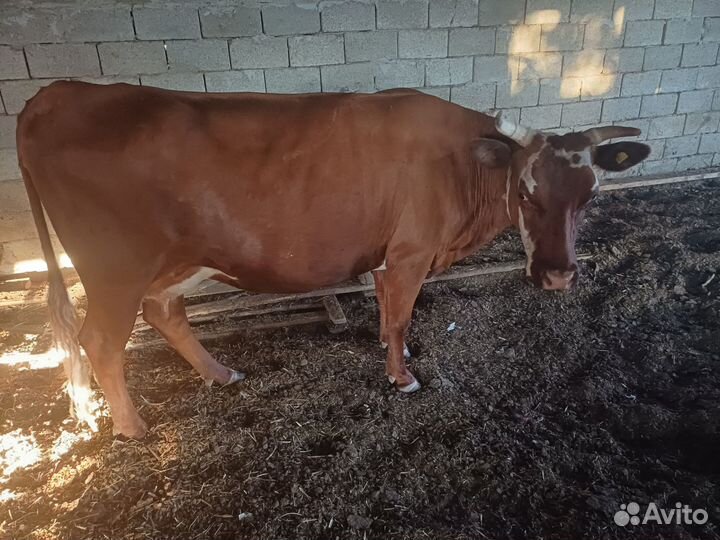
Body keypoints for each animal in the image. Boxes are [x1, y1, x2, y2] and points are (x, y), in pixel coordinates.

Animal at [16, 81, 649, 438]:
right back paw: (132, 428)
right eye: (526, 191)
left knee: (163, 312)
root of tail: (56, 93)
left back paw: (221, 374)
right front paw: (402, 378)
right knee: (100, 340)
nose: (558, 274)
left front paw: (395, 355)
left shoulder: (387, 254)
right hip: (113, 267)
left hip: (174, 259)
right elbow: (400, 314)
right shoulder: (412, 250)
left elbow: (387, 312)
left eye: (590, 195)